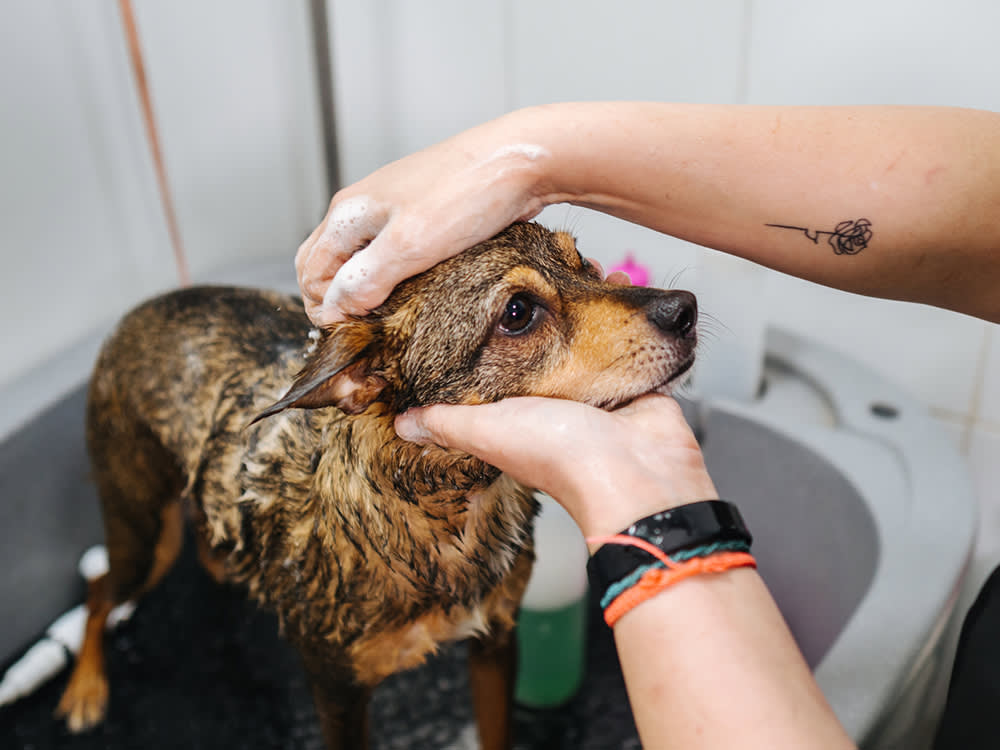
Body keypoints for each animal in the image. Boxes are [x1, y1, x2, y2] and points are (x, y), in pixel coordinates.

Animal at [54, 223, 696, 750]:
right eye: (517, 312)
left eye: (582, 262)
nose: (684, 309)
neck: (447, 513)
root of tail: (135, 313)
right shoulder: (337, 692)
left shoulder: (494, 642)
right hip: (144, 537)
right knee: (101, 590)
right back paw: (85, 689)